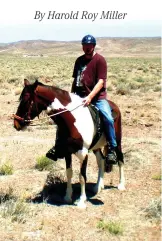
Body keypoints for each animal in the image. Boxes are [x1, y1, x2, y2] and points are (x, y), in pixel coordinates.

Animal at [13, 80, 125, 208]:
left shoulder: (83, 153)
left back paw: (121, 185)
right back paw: (97, 187)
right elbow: (69, 173)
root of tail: (114, 106)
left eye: (26, 99)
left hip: (117, 141)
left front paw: (81, 201)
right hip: (96, 146)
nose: (16, 123)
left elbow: (82, 176)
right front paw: (67, 196)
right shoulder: (67, 151)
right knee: (101, 160)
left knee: (120, 159)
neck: (72, 120)